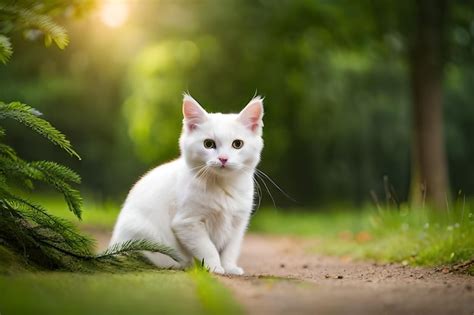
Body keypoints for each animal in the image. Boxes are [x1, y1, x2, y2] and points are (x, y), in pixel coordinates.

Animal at [109, 93, 264, 274]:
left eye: (237, 144)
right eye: (208, 144)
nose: (223, 159)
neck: (222, 186)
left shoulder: (238, 224)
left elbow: (231, 249)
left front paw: (229, 267)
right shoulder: (187, 223)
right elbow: (208, 248)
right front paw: (214, 266)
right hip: (144, 233)